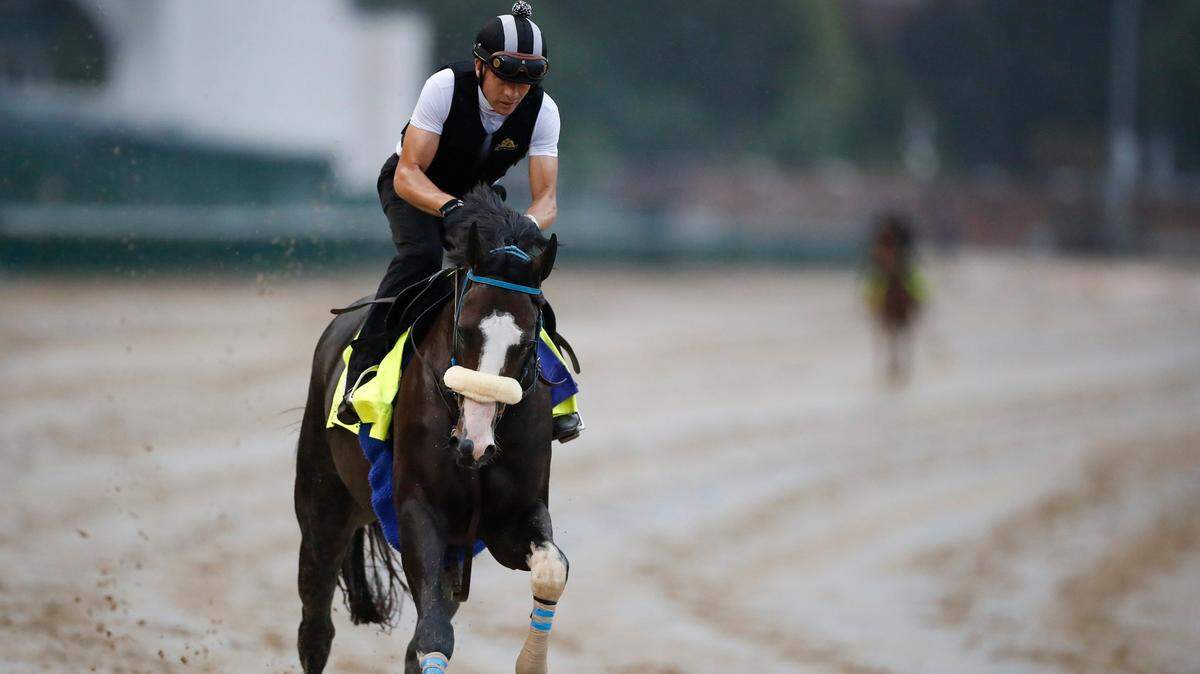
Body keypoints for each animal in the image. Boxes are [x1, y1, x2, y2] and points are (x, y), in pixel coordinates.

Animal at [293, 185, 569, 674]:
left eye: (527, 340)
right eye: (465, 329)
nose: (474, 443)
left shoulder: (512, 518)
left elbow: (552, 568)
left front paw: (532, 660)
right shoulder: (419, 512)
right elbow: (434, 638)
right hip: (322, 505)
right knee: (316, 627)